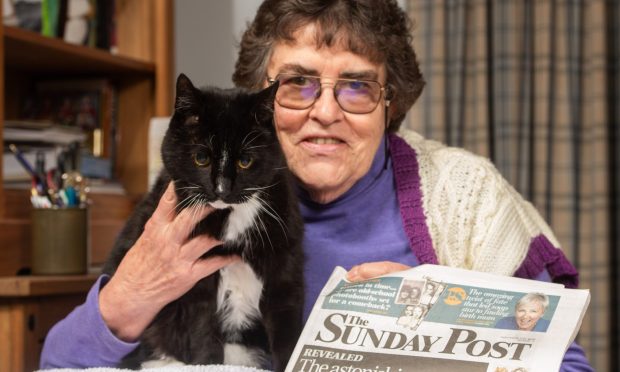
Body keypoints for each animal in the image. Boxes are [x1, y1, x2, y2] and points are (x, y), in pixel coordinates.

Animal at [104, 74, 306, 370]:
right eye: (201, 158)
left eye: (245, 161)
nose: (222, 189)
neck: (231, 215)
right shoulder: (193, 279)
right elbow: (201, 327)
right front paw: (207, 363)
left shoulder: (285, 261)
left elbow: (286, 325)